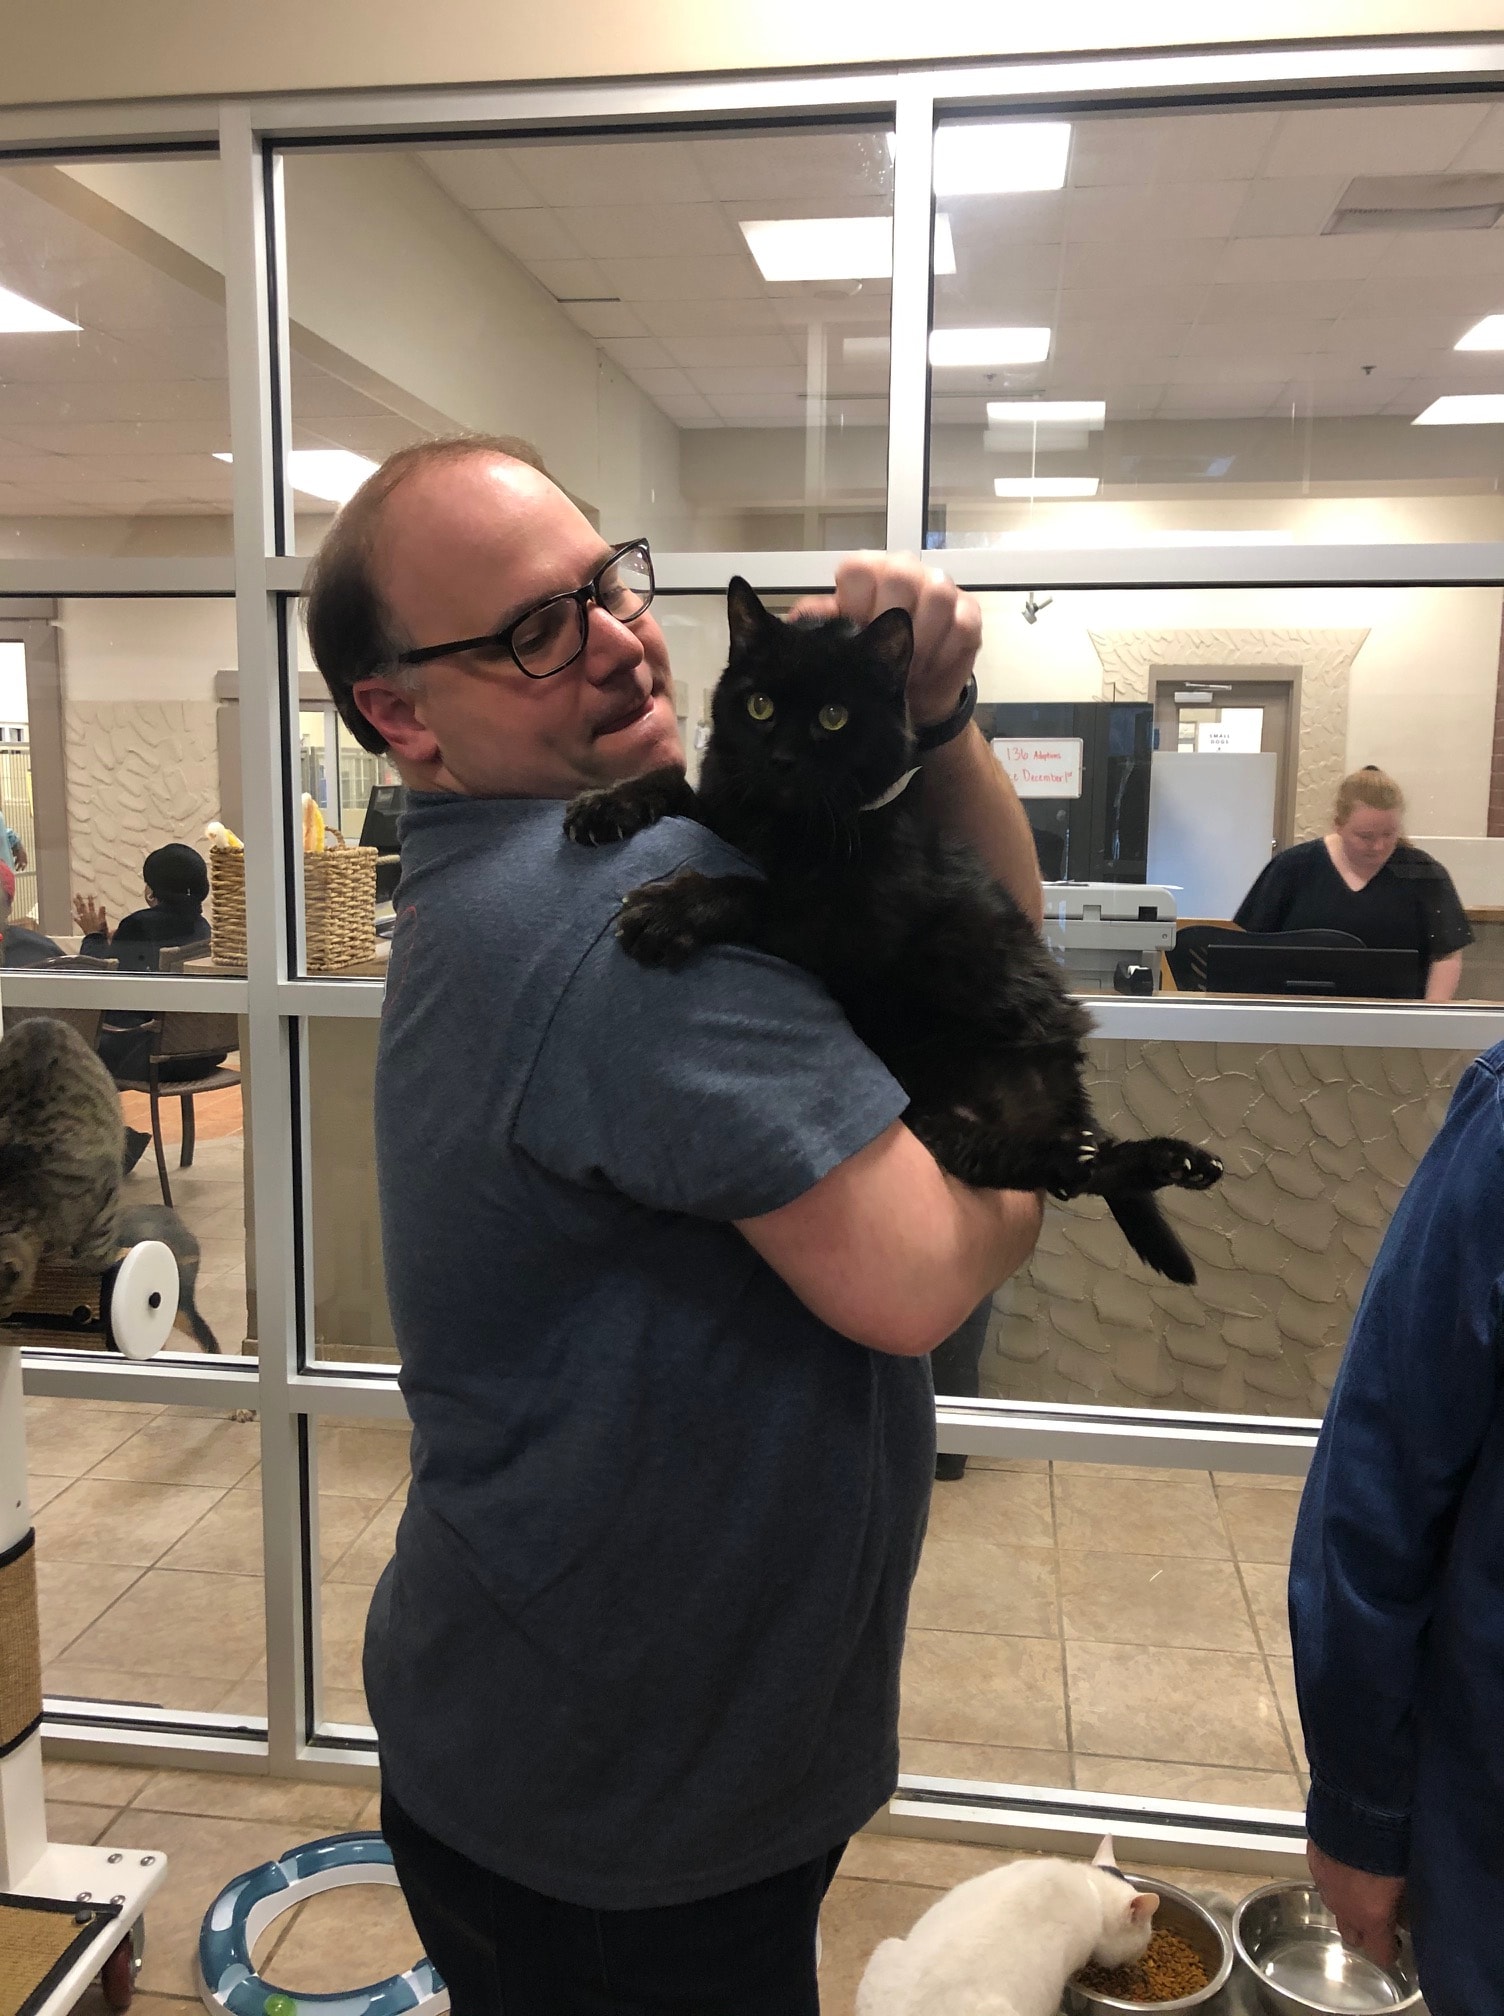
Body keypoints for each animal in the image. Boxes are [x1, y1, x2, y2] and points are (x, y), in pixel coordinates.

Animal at [564, 576, 1217, 1282]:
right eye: (760, 705)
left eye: (833, 717)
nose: (782, 758)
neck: (782, 825)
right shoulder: (725, 811)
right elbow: (675, 784)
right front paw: (606, 804)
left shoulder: (851, 925)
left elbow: (752, 892)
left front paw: (670, 908)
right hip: (938, 1121)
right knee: (1040, 1164)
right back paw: (1137, 1160)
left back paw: (1176, 1160)